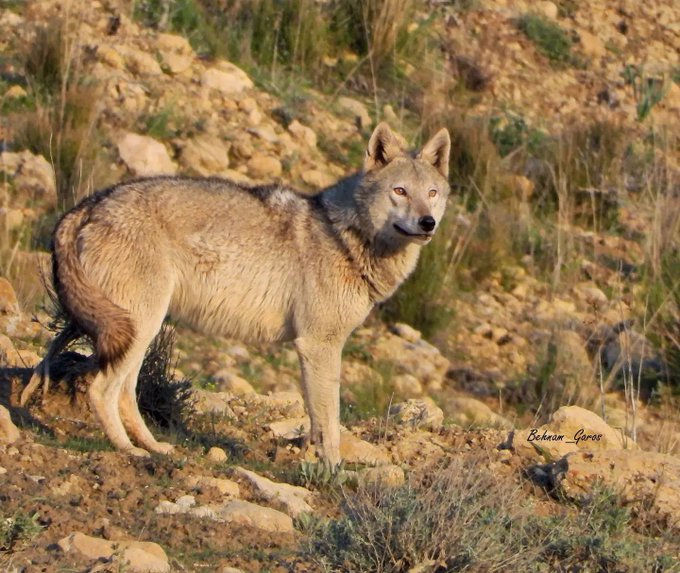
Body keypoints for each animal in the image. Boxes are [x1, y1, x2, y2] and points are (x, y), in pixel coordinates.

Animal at [21, 122, 454, 464]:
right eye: (399, 191)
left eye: (432, 193)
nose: (427, 223)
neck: (345, 238)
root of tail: (90, 203)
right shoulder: (319, 345)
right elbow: (329, 423)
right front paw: (333, 474)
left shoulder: (314, 349)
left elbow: (317, 422)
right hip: (138, 328)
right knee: (101, 389)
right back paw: (127, 451)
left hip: (137, 331)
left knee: (125, 392)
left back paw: (154, 447)